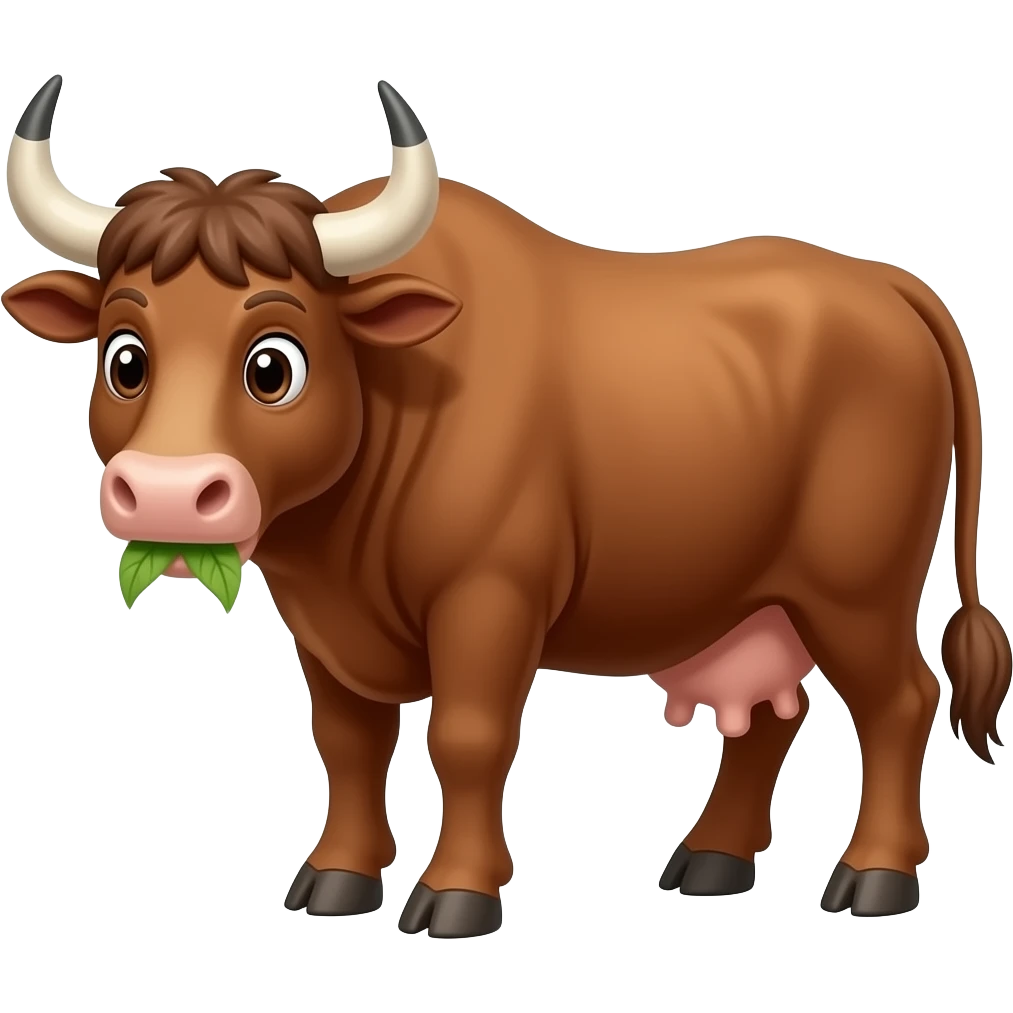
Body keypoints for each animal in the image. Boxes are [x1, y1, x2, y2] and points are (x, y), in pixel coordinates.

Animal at [3, 74, 1010, 937]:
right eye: (124, 356)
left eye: (273, 364)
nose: (169, 492)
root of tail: (884, 283)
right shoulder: (320, 625)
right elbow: (348, 742)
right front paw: (337, 877)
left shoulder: (489, 598)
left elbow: (468, 737)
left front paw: (456, 893)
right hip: (756, 599)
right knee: (772, 713)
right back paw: (713, 859)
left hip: (856, 589)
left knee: (900, 701)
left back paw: (874, 875)